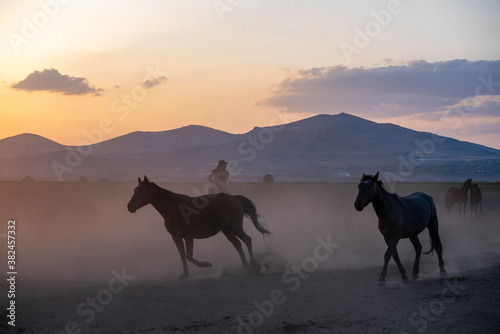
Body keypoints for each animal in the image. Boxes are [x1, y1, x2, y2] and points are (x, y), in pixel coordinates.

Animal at [127, 176, 272, 280]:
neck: (175, 208)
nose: (130, 207)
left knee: (247, 240)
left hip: (235, 227)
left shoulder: (189, 236)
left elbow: (189, 256)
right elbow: (183, 256)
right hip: (226, 229)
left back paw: (254, 266)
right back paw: (245, 267)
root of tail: (234, 198)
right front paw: (184, 275)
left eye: (141, 191)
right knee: (237, 244)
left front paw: (206, 264)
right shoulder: (176, 237)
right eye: (134, 191)